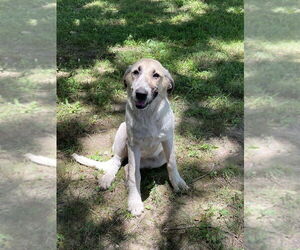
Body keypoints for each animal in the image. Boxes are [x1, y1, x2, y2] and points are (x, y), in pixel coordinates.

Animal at [72, 58, 188, 215]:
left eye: (156, 75)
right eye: (136, 72)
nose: (140, 94)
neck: (148, 114)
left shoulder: (168, 140)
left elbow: (171, 164)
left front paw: (177, 182)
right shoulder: (133, 145)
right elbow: (135, 174)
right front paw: (134, 201)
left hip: (157, 158)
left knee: (127, 166)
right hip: (122, 133)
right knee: (118, 162)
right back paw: (107, 178)